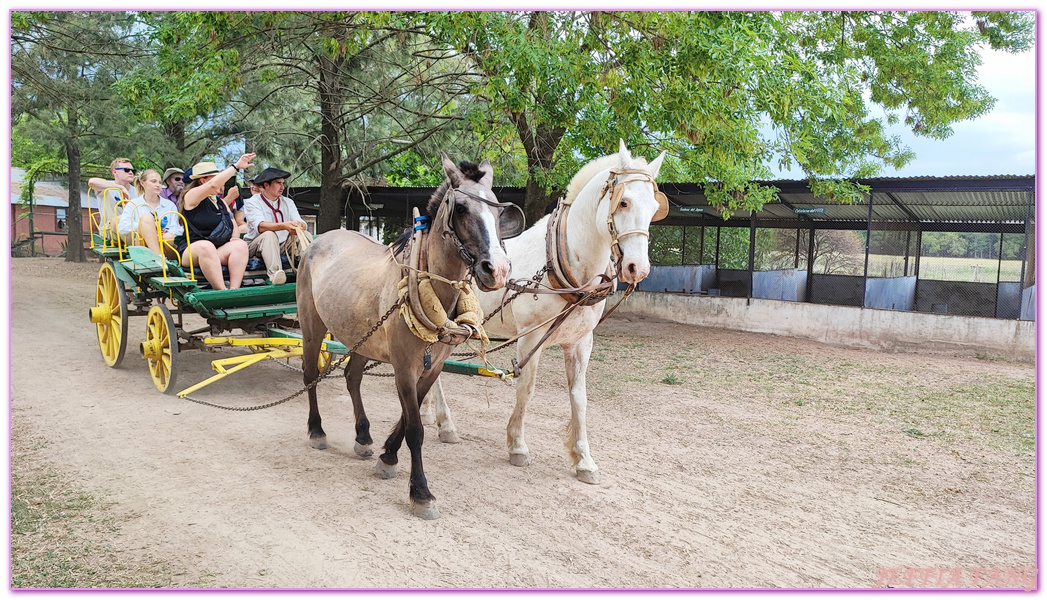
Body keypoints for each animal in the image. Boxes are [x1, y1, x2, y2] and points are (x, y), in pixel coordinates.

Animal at [295, 153, 523, 519]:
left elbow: (410, 412)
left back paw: (363, 437)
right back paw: (317, 430)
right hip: (312, 327)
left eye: (499, 211)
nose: (498, 270)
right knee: (310, 374)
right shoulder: (403, 366)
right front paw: (421, 492)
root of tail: (318, 240)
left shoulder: (431, 367)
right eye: (461, 208)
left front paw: (388, 456)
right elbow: (415, 428)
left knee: (352, 377)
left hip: (362, 337)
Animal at [420, 139, 665, 481]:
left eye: (654, 208)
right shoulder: (529, 338)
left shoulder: (581, 342)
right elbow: (526, 389)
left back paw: (429, 413)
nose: (637, 268)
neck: (565, 268)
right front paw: (518, 446)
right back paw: (446, 424)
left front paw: (584, 460)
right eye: (625, 202)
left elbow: (579, 398)